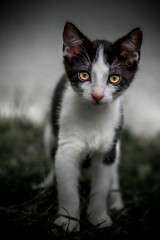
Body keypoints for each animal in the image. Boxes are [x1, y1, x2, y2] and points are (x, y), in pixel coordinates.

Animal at [39, 22, 141, 231]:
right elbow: (68, 189)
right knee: (52, 157)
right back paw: (47, 184)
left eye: (114, 78)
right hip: (51, 134)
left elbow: (101, 186)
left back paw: (117, 201)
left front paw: (99, 217)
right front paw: (68, 221)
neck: (94, 115)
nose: (97, 95)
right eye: (84, 75)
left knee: (114, 171)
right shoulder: (67, 148)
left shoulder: (108, 148)